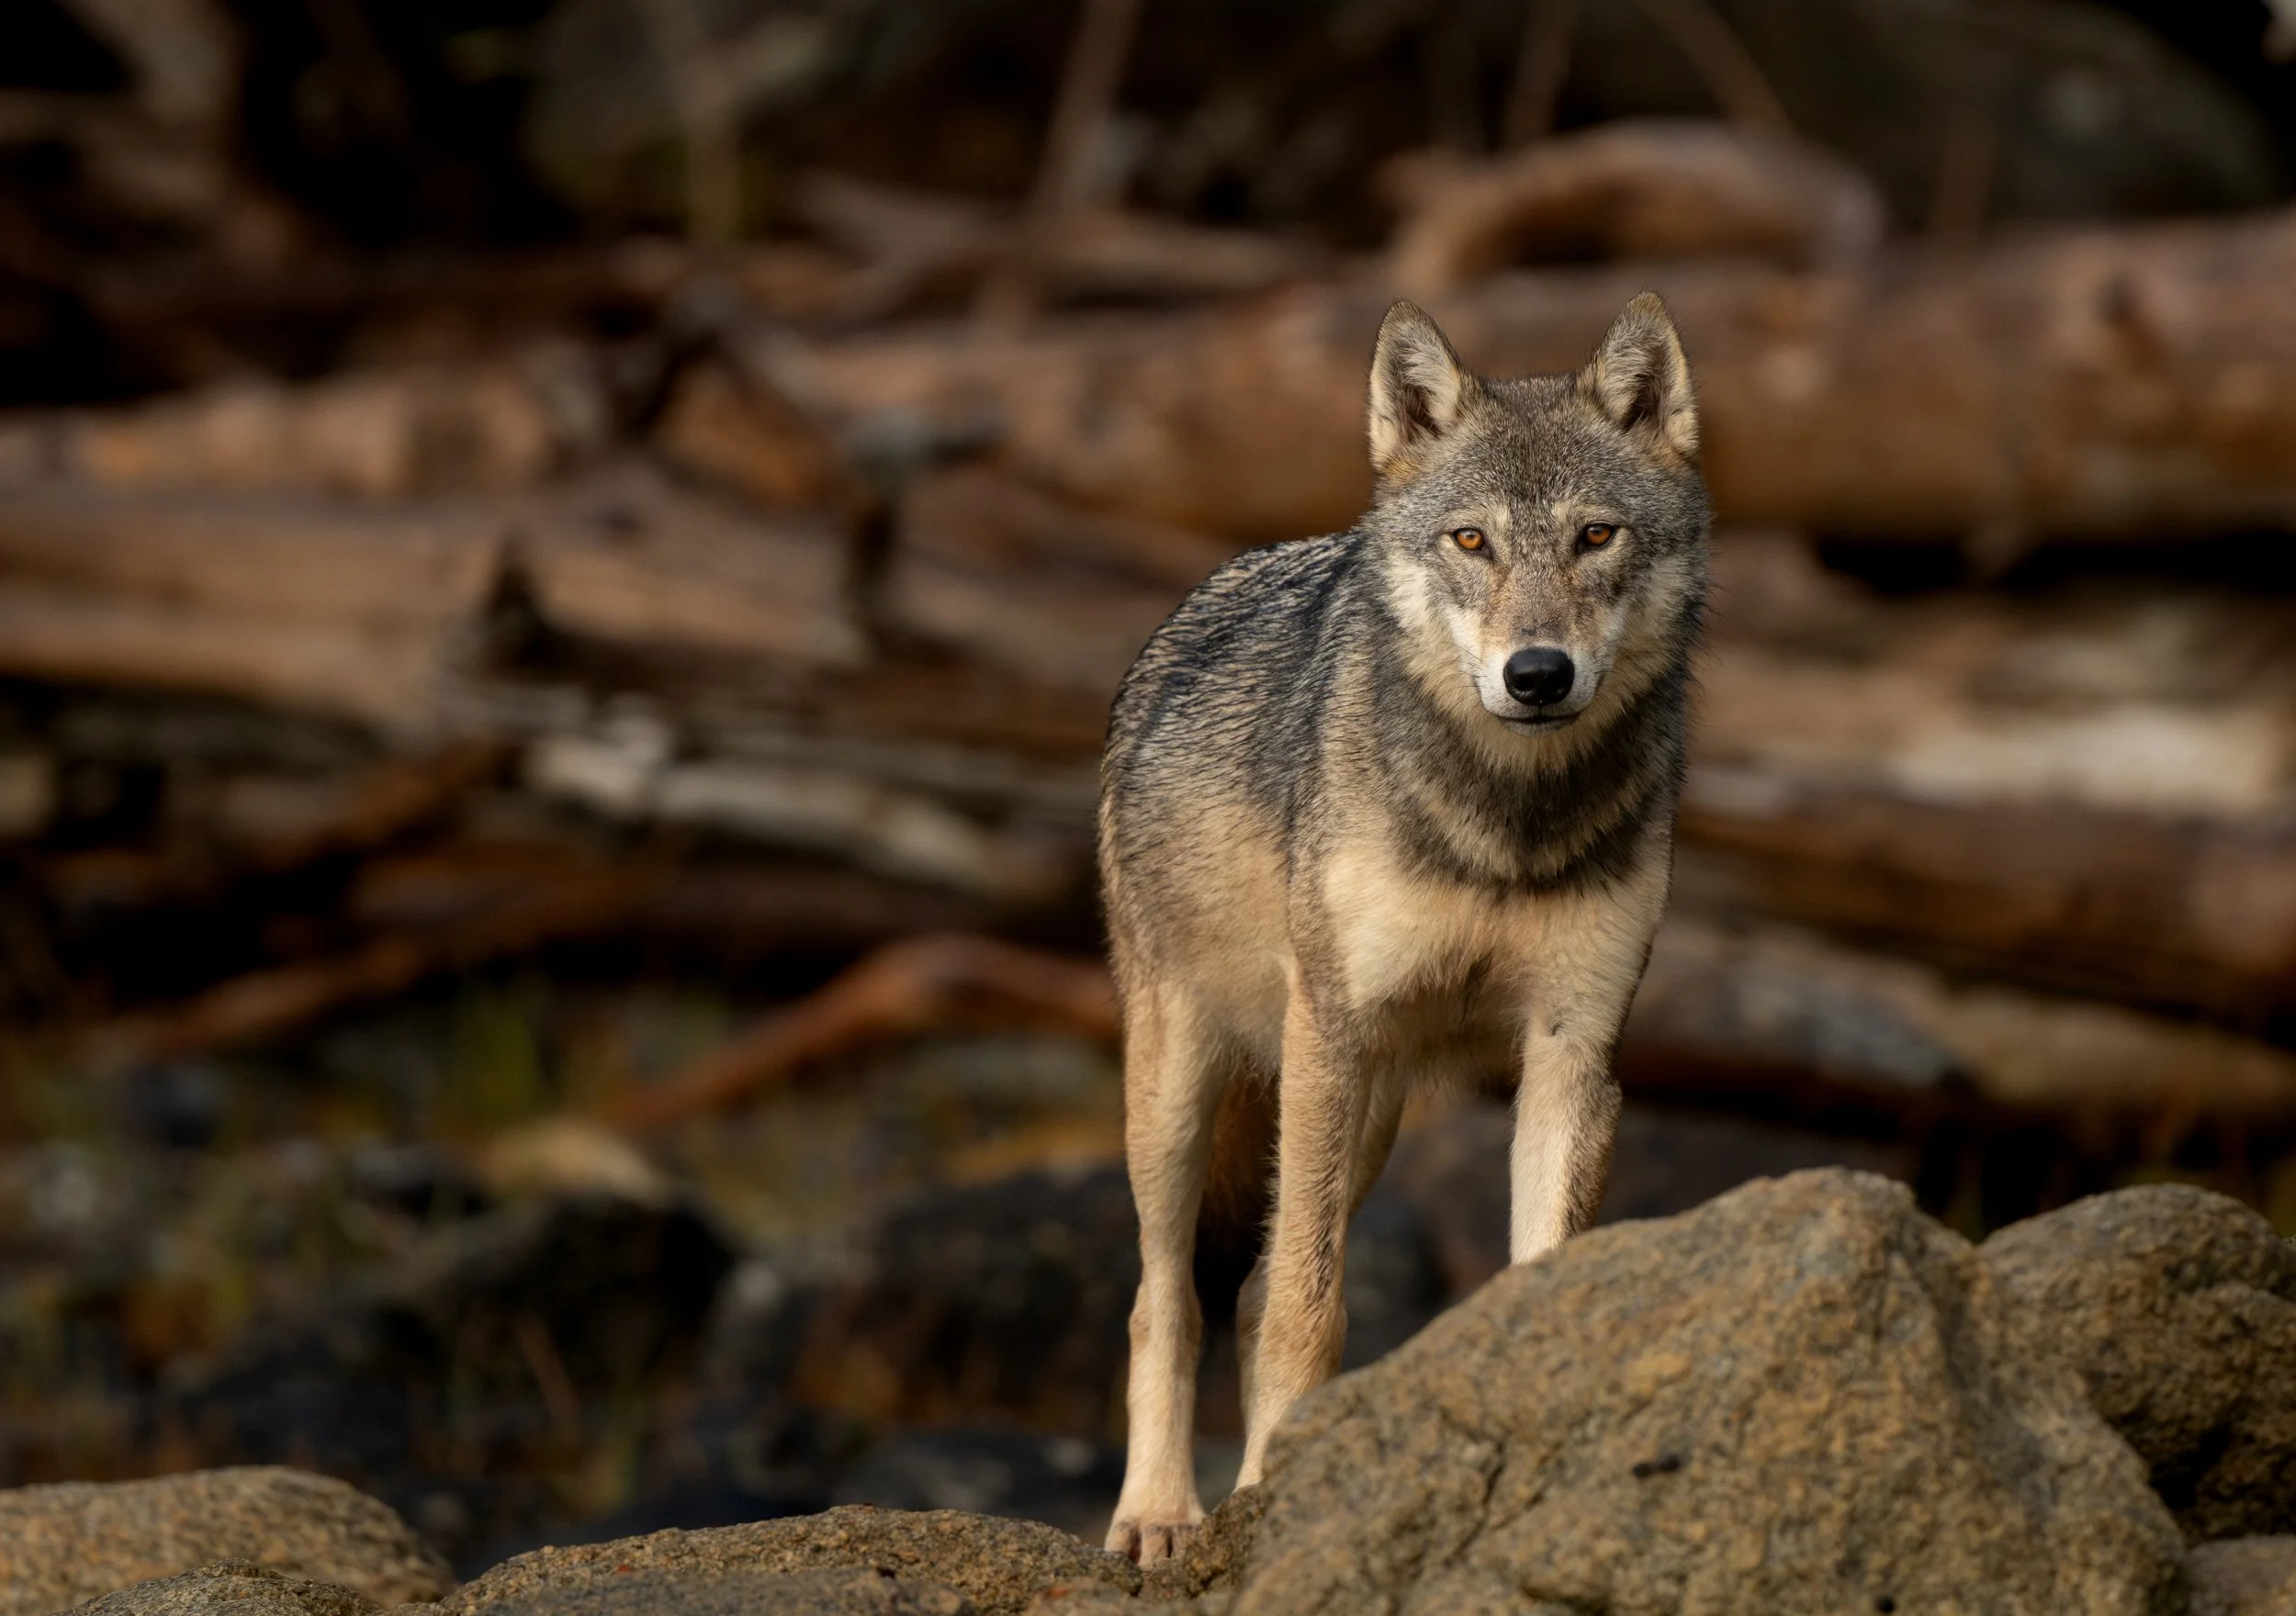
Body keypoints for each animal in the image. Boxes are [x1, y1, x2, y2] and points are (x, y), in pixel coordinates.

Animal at [1096, 293, 1708, 1562]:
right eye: (1471, 541)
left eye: (1595, 537)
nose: (1537, 673)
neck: (1503, 825)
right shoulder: (1332, 1029)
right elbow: (1308, 1308)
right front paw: (1271, 1498)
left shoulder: (1575, 1047)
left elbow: (1536, 1267)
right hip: (1194, 1091)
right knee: (1165, 1297)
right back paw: (1161, 1515)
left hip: (1366, 1107)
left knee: (1243, 1283)